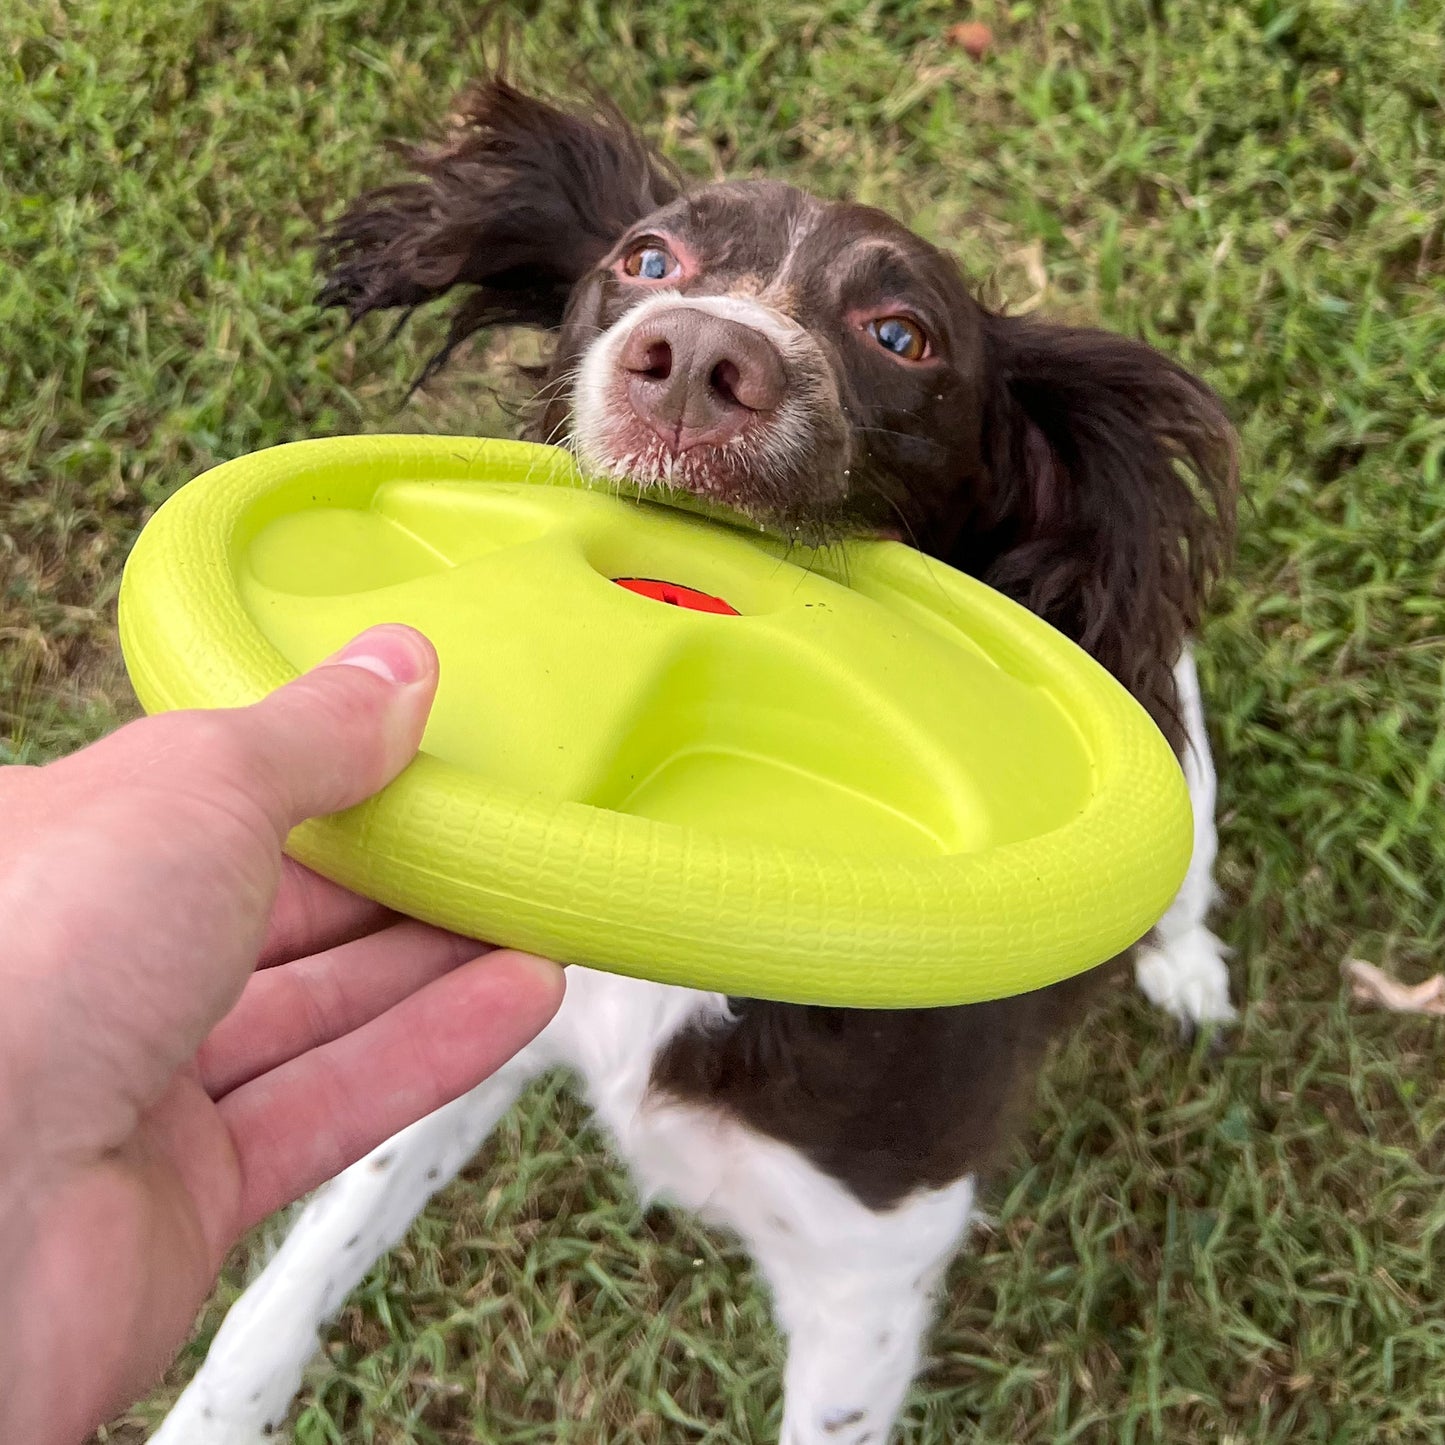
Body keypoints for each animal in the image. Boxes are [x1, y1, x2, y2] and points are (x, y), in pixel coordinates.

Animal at [155, 76, 1242, 1445]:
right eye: (646, 259)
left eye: (900, 335)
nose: (690, 361)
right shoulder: (476, 1021)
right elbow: (302, 1263)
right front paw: (207, 1410)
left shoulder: (865, 1263)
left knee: (1187, 886)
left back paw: (1187, 967)